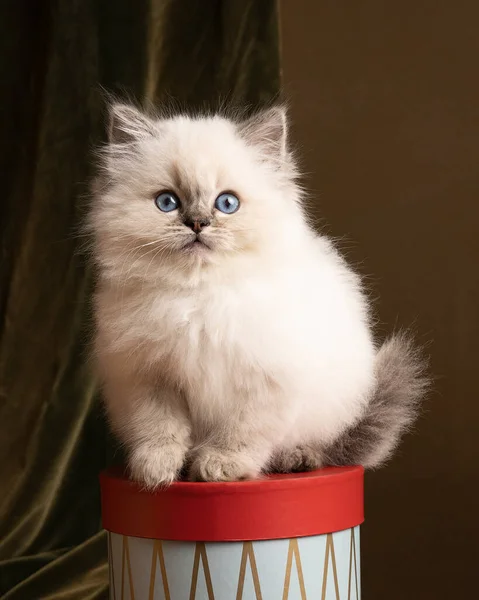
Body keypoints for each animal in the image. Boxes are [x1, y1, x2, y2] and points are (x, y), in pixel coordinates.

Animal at [89, 102, 428, 488]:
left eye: (226, 203)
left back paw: (295, 459)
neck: (199, 295)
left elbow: (240, 433)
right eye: (167, 202)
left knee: (319, 449)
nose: (197, 223)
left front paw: (219, 466)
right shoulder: (150, 378)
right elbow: (160, 429)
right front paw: (157, 470)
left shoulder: (263, 380)